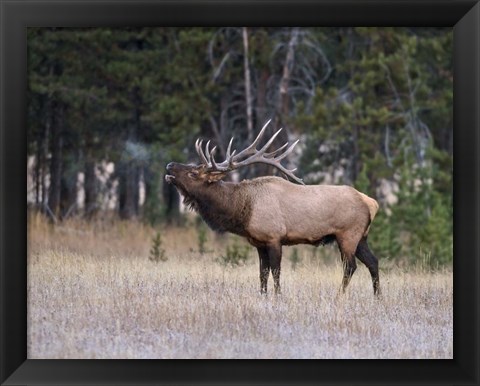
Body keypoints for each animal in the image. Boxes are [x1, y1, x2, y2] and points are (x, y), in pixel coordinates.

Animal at [167, 120, 380, 296]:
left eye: (194, 173)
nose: (169, 165)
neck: (243, 209)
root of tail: (371, 202)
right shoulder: (259, 243)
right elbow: (263, 274)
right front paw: (263, 295)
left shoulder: (274, 237)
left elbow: (276, 272)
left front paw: (278, 296)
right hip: (361, 237)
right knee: (373, 261)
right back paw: (377, 297)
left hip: (347, 234)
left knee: (350, 266)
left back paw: (339, 296)